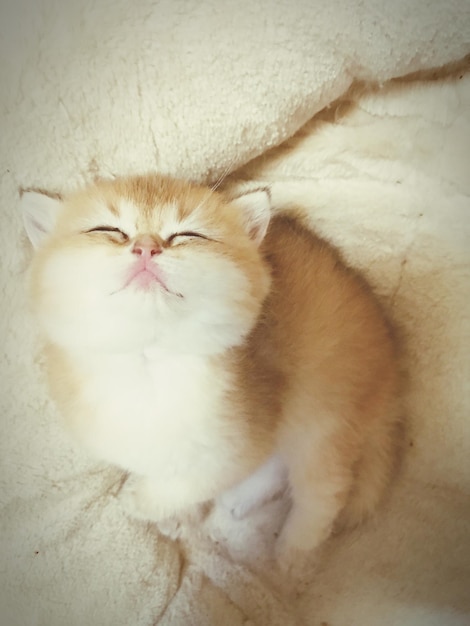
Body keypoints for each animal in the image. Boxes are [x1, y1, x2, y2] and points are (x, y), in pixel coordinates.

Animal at [22, 173, 402, 564]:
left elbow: (194, 480)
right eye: (107, 230)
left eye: (188, 235)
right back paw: (241, 502)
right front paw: (178, 518)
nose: (146, 247)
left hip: (326, 410)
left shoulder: (243, 432)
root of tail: (392, 362)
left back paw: (292, 554)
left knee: (324, 489)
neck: (150, 367)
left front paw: (142, 501)